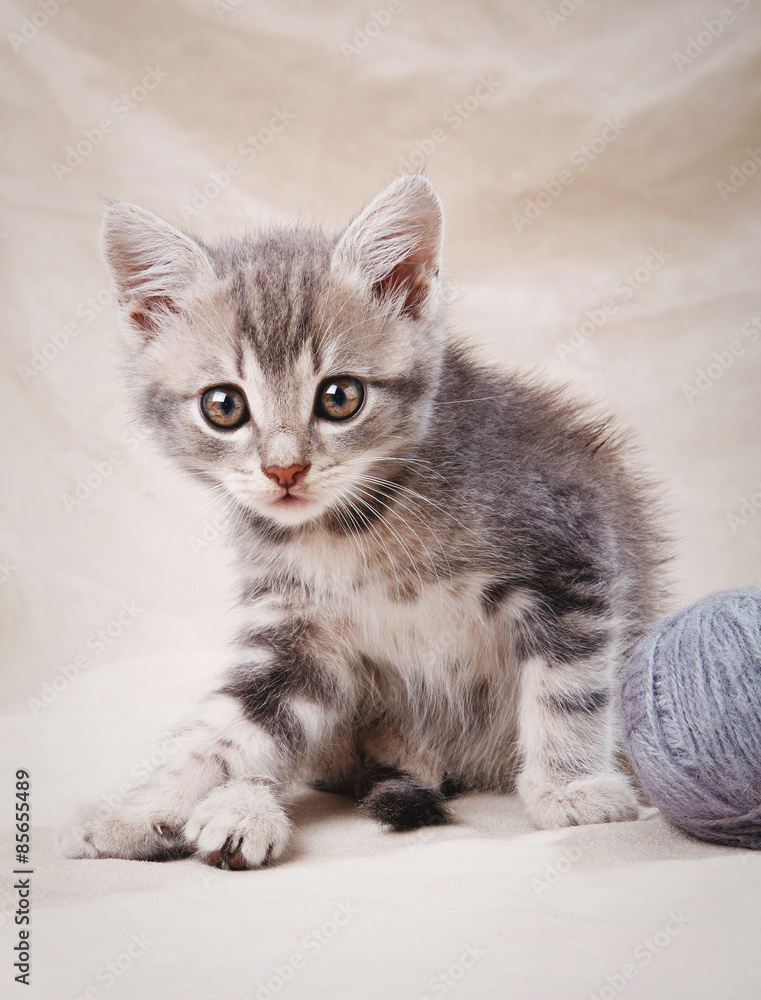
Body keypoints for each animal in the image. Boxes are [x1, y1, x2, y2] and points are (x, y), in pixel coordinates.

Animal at [59, 176, 664, 872]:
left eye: (340, 397)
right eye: (224, 406)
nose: (284, 470)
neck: (354, 527)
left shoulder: (569, 547)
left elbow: (568, 688)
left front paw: (572, 787)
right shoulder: (298, 636)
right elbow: (228, 733)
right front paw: (140, 812)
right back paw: (255, 804)